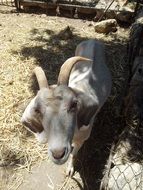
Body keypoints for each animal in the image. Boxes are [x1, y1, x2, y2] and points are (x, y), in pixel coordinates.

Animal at [20, 39, 111, 176]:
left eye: (74, 104)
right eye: (37, 110)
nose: (58, 154)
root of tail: (93, 40)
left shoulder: (81, 139)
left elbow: (74, 152)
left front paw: (70, 169)